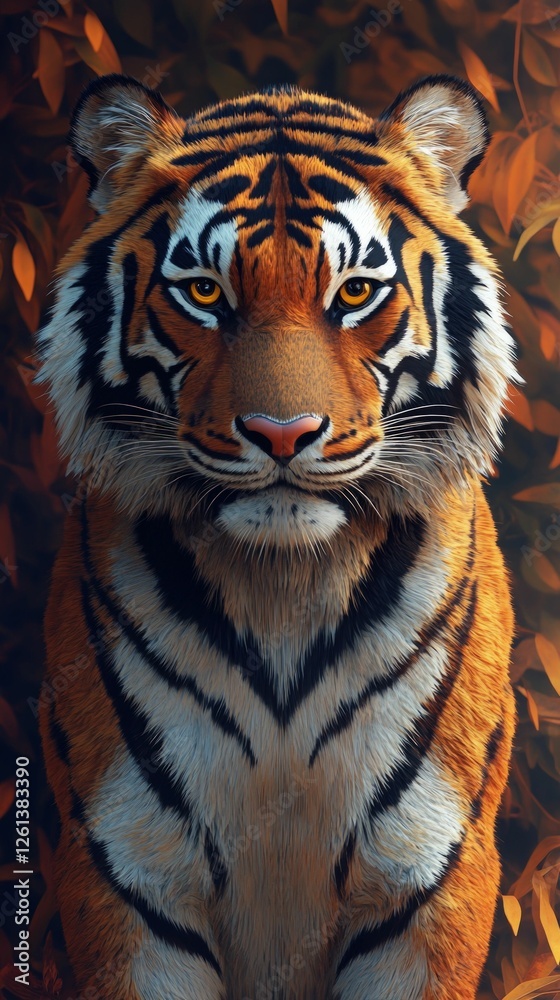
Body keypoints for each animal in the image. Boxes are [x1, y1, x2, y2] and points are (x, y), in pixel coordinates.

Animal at [36, 72, 518, 1000]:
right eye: (206, 293)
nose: (282, 434)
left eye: (355, 294)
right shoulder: (128, 872)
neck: (284, 587)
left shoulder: (428, 876)